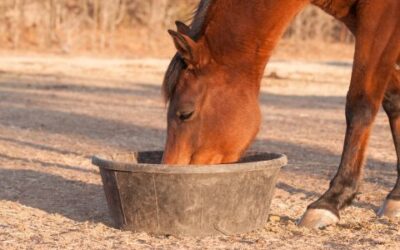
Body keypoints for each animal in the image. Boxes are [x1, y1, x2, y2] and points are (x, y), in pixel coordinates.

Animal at [161, 0, 398, 229]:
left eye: (185, 113)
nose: (170, 168)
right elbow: (394, 101)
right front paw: (396, 196)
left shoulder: (381, 18)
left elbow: (360, 105)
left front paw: (330, 201)